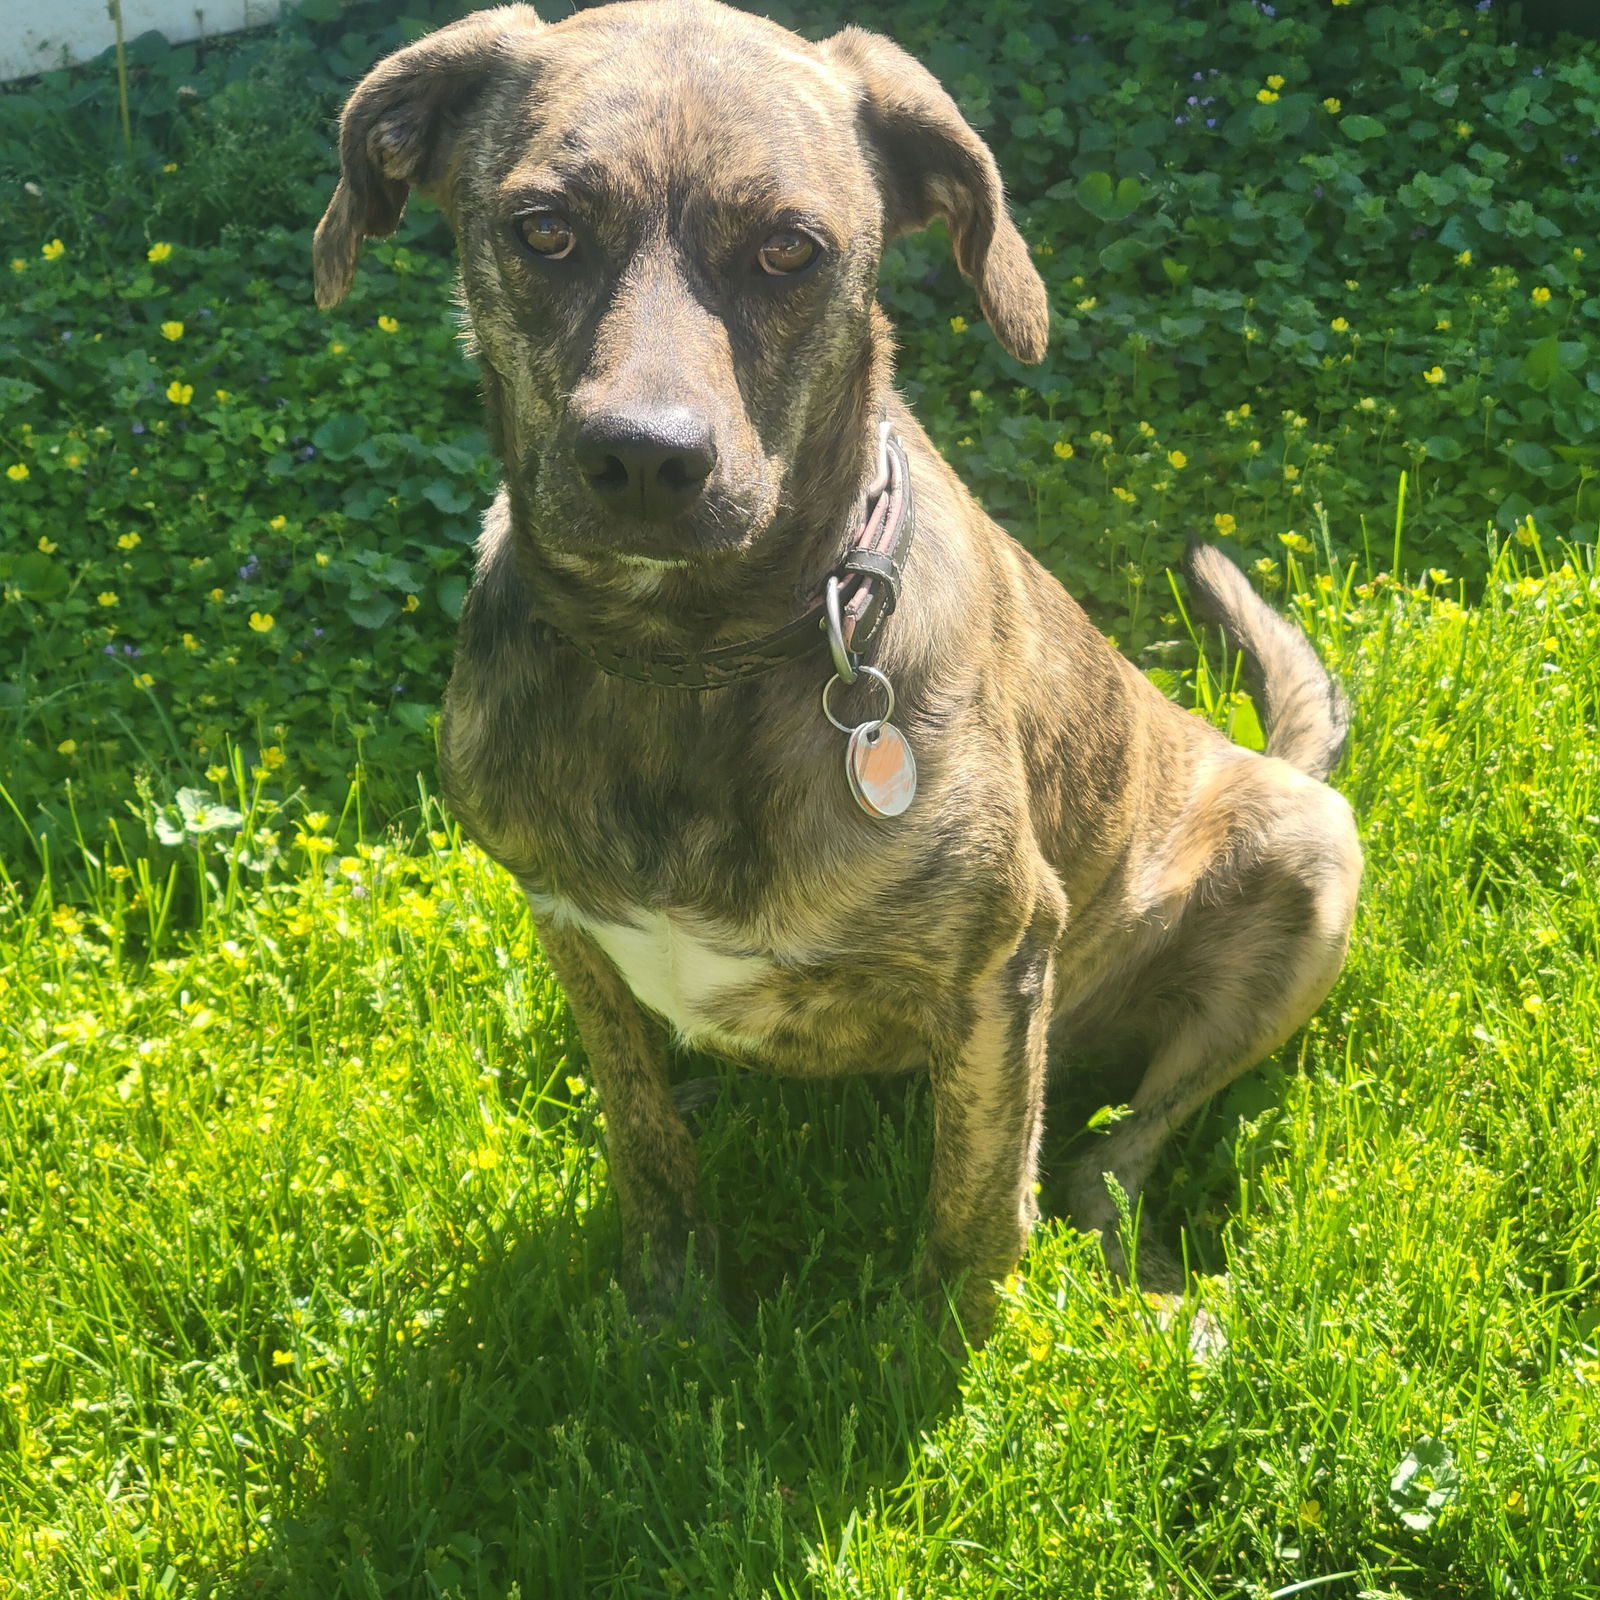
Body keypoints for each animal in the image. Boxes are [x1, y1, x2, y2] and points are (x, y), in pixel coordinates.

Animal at [312, 0, 1363, 1337]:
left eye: (789, 250)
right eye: (541, 229)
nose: (645, 460)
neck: (687, 663)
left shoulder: (999, 966)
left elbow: (977, 1206)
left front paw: (942, 1359)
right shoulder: (568, 931)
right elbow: (643, 1144)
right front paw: (668, 1312)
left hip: (1304, 864)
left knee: (1108, 1153)